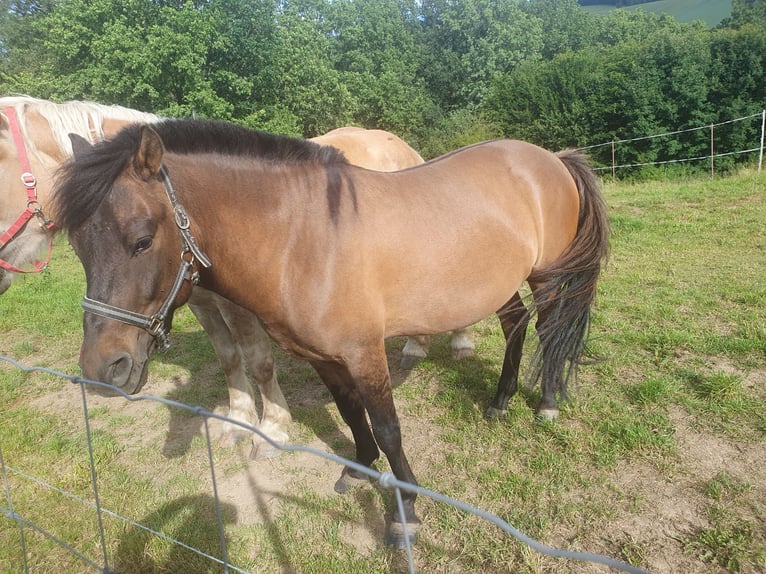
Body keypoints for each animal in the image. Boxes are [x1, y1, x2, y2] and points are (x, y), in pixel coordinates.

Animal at [0, 99, 450, 460]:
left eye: (142, 241)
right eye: (77, 245)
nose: (100, 370)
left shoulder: (241, 306)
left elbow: (260, 362)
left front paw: (272, 428)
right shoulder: (200, 303)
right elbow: (229, 358)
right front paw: (238, 421)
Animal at [54, 120, 612, 548]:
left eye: (142, 240)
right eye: (77, 245)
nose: (104, 368)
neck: (303, 238)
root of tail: (551, 158)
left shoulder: (365, 353)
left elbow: (388, 427)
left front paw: (406, 511)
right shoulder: (321, 355)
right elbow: (350, 413)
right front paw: (358, 469)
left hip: (547, 275)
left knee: (549, 331)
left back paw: (546, 403)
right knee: (514, 324)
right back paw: (499, 400)